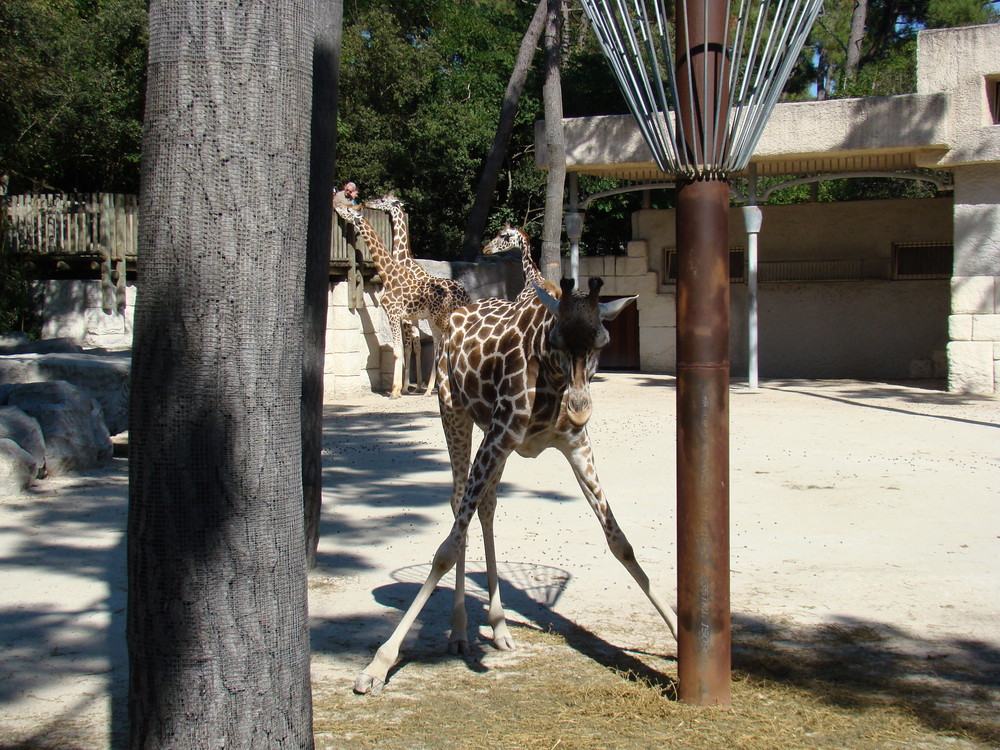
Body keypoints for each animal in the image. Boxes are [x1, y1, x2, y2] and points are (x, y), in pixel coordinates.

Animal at [352, 278, 680, 700]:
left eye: (602, 342)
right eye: (556, 340)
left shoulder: (574, 444)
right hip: (455, 412)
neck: (552, 380)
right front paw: (378, 665)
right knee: (459, 502)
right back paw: (459, 633)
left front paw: (679, 635)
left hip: (492, 438)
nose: (579, 408)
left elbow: (620, 542)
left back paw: (499, 628)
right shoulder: (500, 434)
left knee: (487, 505)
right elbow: (445, 550)